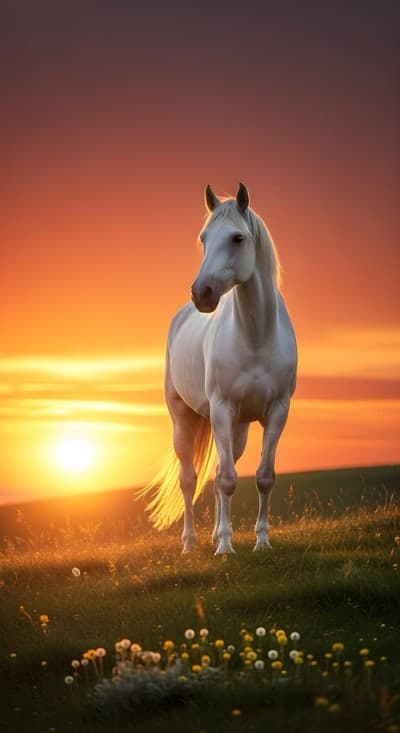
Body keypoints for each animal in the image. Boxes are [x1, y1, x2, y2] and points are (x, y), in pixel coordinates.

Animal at [140, 183, 297, 555]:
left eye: (237, 238)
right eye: (203, 238)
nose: (202, 293)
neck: (256, 336)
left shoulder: (277, 411)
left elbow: (263, 477)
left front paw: (261, 542)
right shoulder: (222, 409)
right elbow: (226, 480)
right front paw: (225, 547)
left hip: (238, 428)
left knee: (220, 471)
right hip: (184, 418)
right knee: (189, 479)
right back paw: (191, 544)